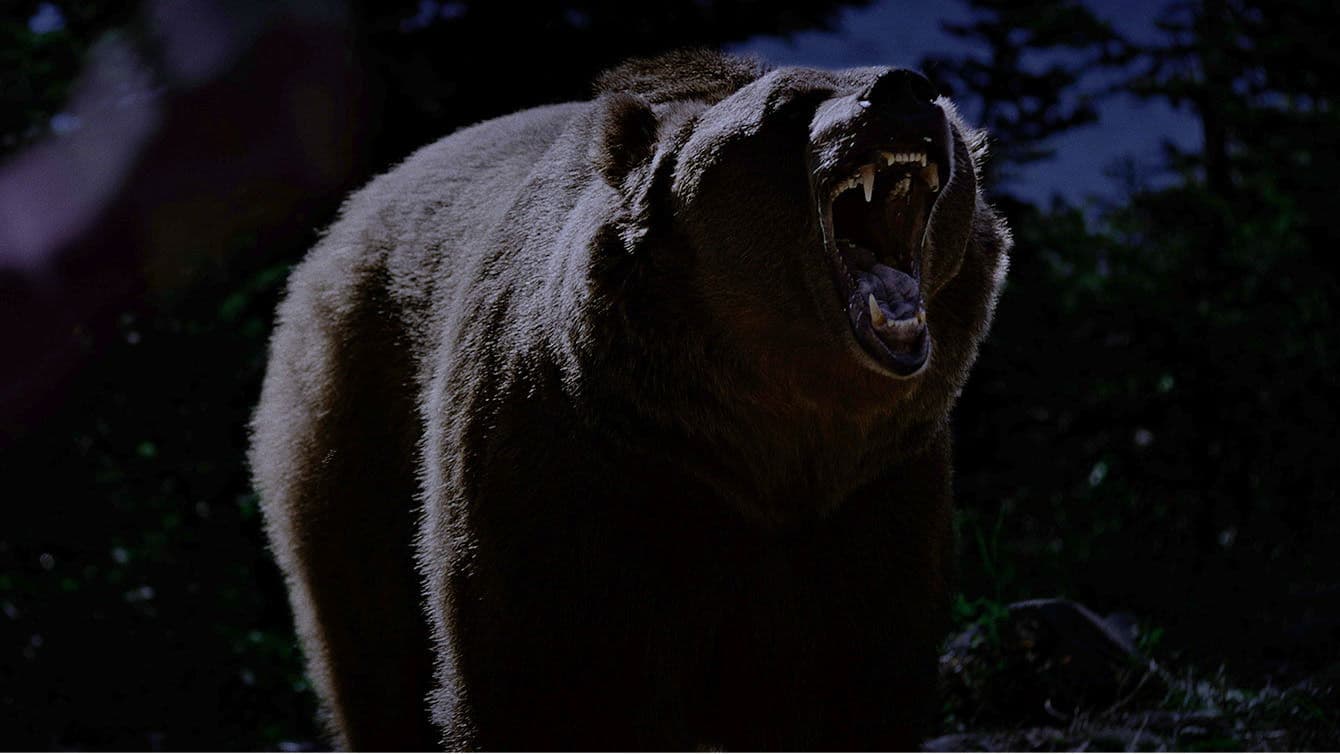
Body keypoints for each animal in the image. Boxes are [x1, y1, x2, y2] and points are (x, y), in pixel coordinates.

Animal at [249, 50, 1010, 751]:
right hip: (354, 417)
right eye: (791, 104)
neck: (767, 429)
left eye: (936, 97)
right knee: (371, 644)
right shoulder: (586, 467)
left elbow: (852, 678)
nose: (903, 91)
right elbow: (549, 679)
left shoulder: (875, 489)